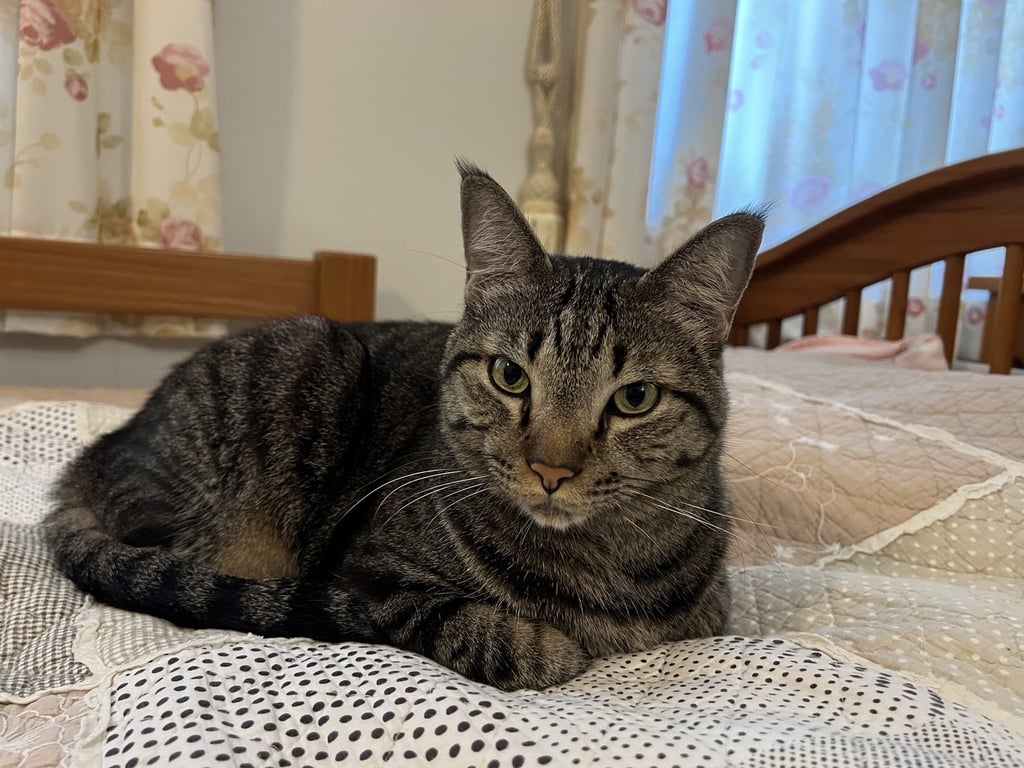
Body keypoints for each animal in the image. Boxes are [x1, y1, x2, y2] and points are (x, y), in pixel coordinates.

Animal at [44, 161, 764, 691]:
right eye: (509, 375)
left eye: (635, 398)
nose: (550, 469)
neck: (600, 565)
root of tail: (93, 458)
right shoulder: (367, 570)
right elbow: (470, 624)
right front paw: (544, 643)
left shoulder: (713, 610)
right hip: (301, 378)